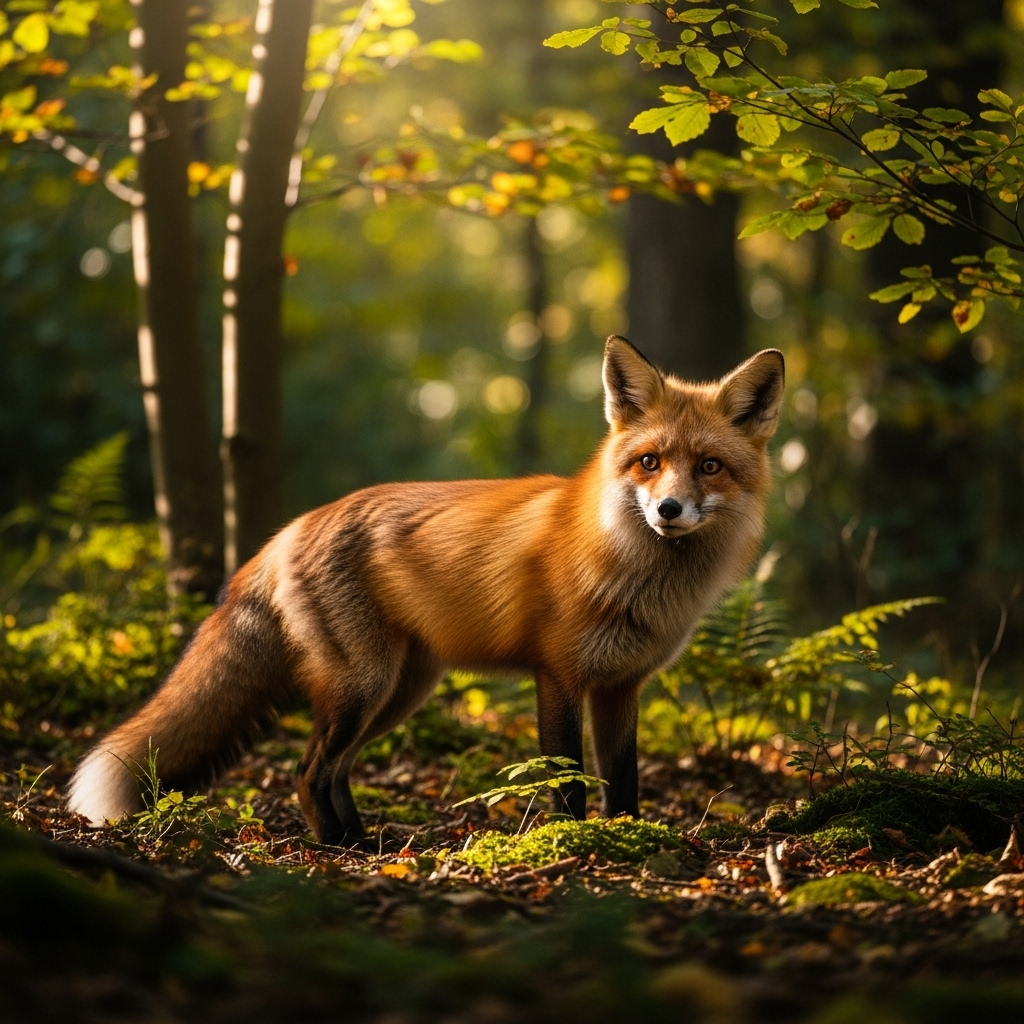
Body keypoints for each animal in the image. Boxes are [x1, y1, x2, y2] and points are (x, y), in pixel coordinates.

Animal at [67, 336, 784, 843]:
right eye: (649, 462)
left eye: (709, 466)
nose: (668, 510)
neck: (637, 577)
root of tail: (290, 528)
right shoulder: (557, 675)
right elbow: (567, 781)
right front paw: (572, 844)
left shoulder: (620, 685)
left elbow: (623, 782)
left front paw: (627, 840)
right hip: (365, 686)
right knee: (307, 770)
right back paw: (342, 850)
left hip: (401, 691)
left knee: (333, 770)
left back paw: (365, 841)